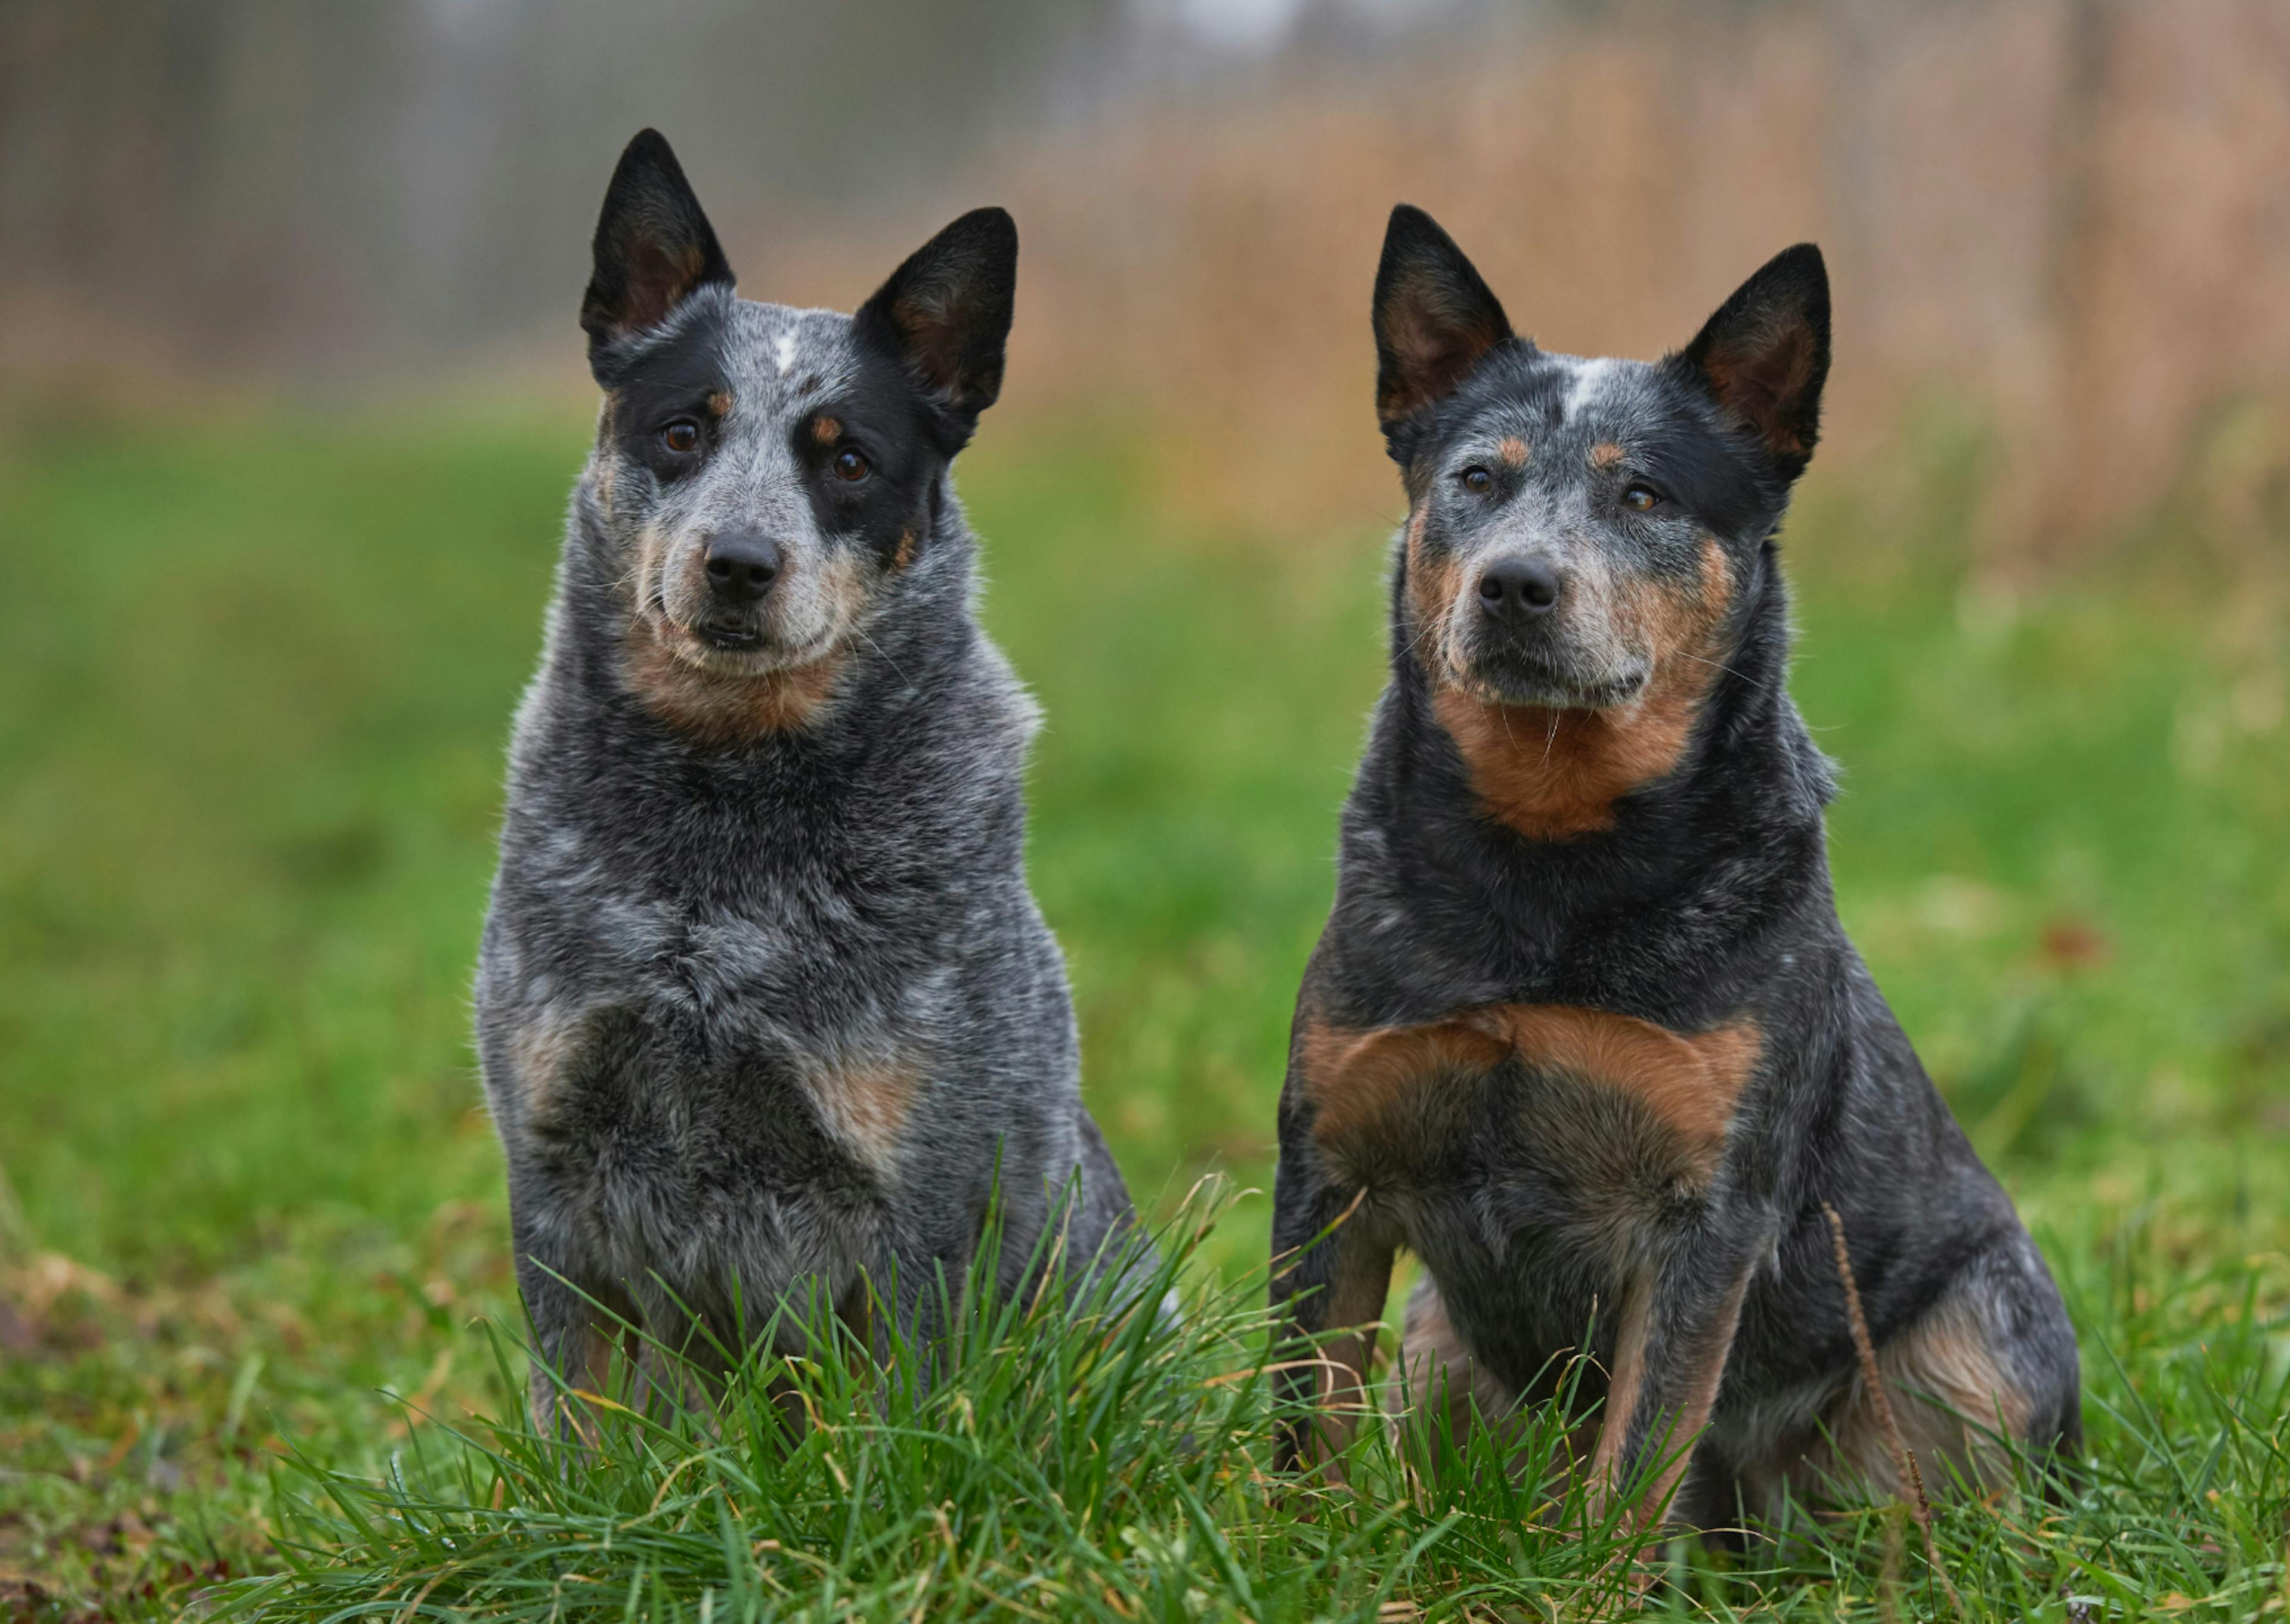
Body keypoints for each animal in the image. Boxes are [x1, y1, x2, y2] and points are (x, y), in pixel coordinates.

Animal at [476, 132, 1145, 1429]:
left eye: (847, 458)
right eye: (684, 432)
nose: (738, 561)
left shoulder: (919, 1202)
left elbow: (896, 1420)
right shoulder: (555, 1175)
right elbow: (580, 1421)